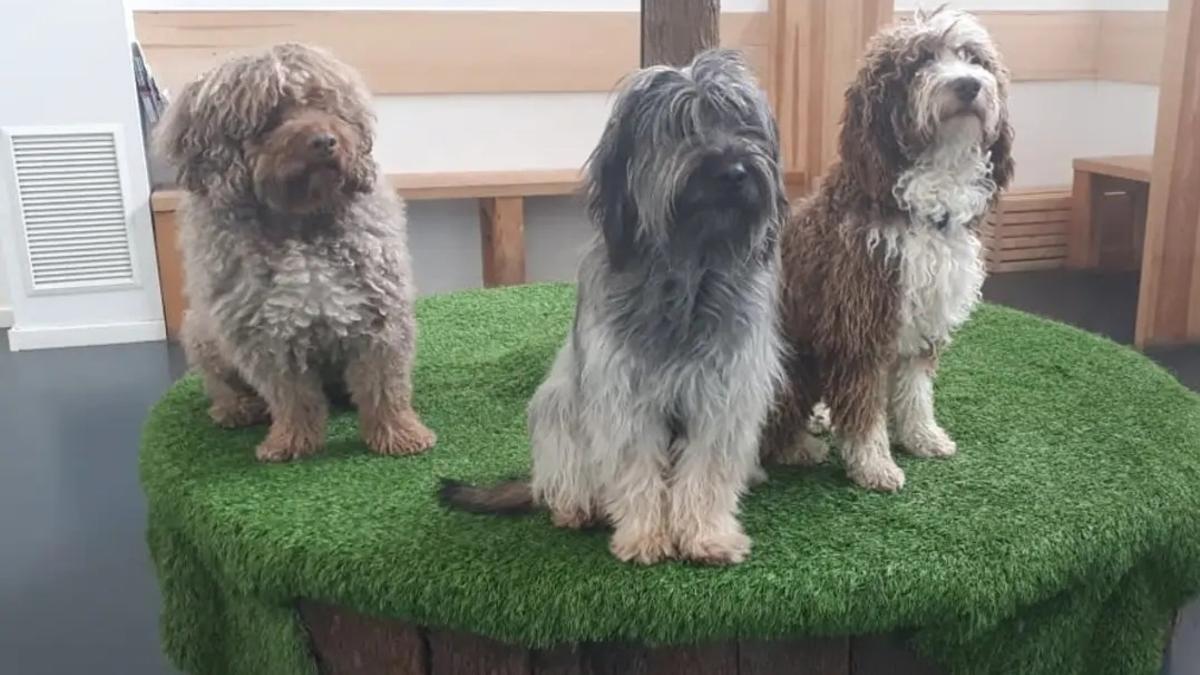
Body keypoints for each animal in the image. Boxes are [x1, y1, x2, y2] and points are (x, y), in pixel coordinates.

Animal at [154, 43, 436, 461]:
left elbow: (383, 385)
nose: (325, 140)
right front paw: (292, 441)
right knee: (221, 384)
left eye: (324, 102)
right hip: (202, 332)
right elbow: (291, 396)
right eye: (270, 115)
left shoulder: (379, 316)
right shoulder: (264, 333)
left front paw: (399, 433)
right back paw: (236, 407)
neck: (301, 224)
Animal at [441, 48, 787, 562]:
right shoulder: (624, 394)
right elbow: (635, 469)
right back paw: (575, 508)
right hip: (557, 407)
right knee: (563, 479)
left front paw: (707, 535)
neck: (687, 273)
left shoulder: (723, 394)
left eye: (744, 123)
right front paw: (645, 536)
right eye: (682, 124)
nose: (735, 171)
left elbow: (705, 472)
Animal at [763, 9, 1008, 487]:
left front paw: (922, 436)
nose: (968, 85)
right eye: (921, 61)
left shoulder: (923, 317)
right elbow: (864, 408)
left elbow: (916, 391)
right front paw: (873, 463)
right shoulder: (859, 323)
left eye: (973, 58)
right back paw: (799, 446)